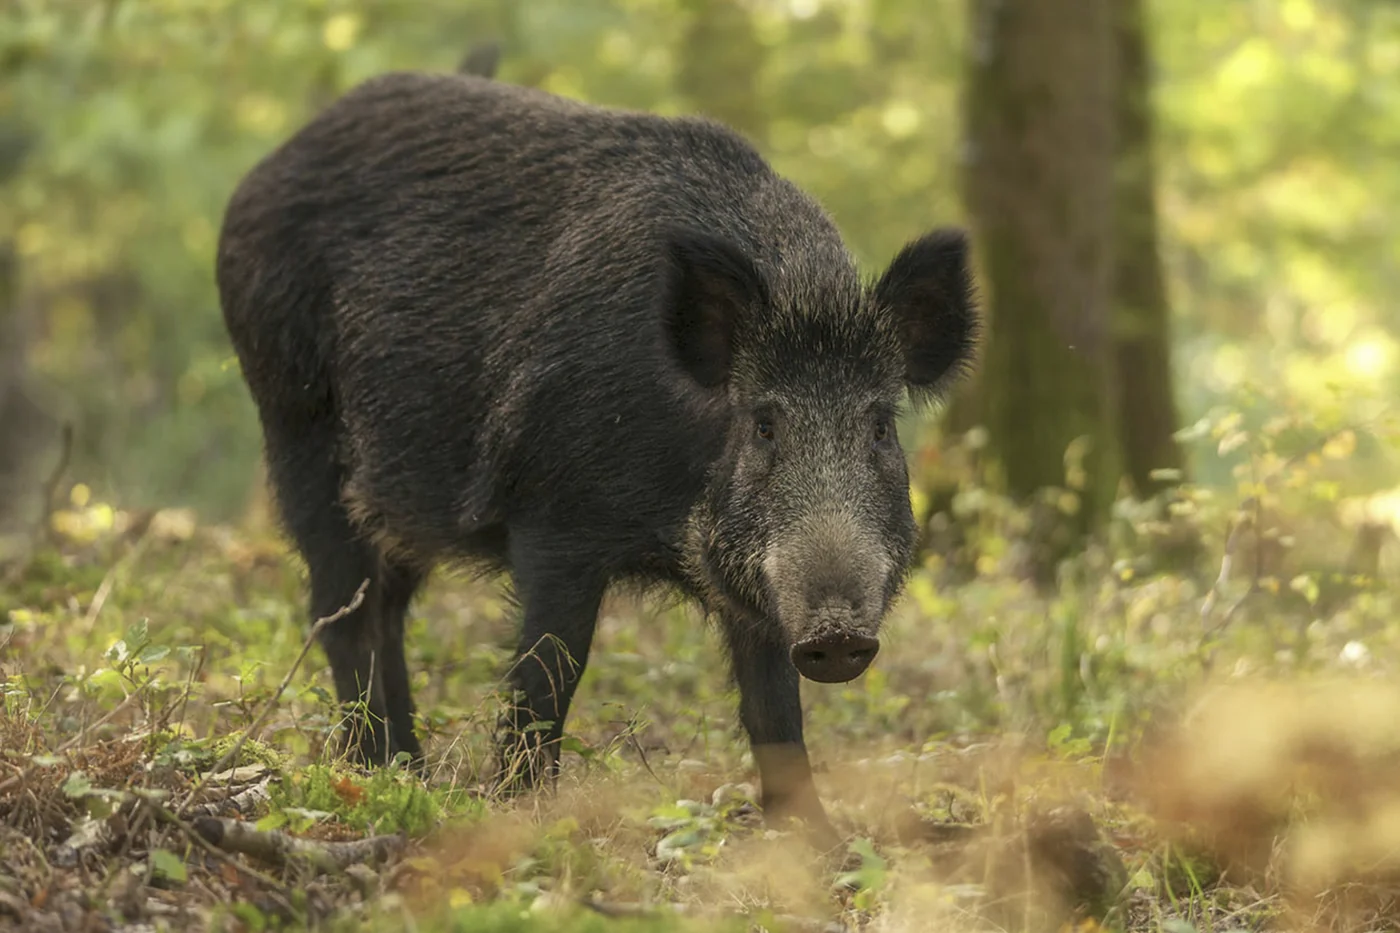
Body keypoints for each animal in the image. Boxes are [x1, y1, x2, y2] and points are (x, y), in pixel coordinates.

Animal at [216, 64, 978, 847]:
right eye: (763, 424)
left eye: (880, 426)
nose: (836, 635)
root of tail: (261, 176)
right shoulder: (552, 518)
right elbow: (549, 674)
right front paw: (522, 817)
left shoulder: (753, 587)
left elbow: (773, 708)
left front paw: (816, 843)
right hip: (296, 426)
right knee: (340, 610)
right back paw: (374, 774)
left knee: (385, 612)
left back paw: (408, 776)